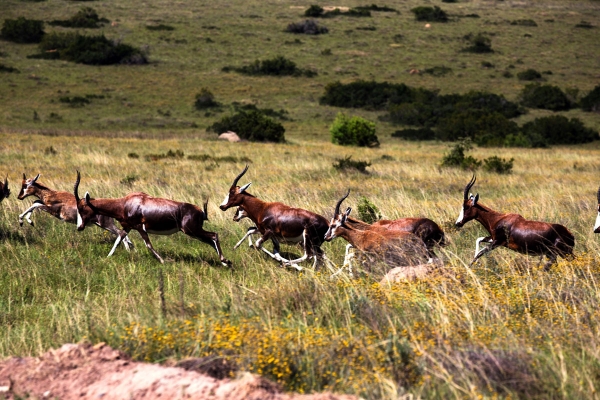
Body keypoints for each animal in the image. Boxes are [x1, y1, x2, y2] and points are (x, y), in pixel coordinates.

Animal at [71, 171, 230, 266]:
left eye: (81, 207)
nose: (79, 227)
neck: (126, 202)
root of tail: (200, 211)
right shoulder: (127, 227)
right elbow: (118, 240)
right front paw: (108, 257)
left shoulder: (140, 227)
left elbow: (148, 244)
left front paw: (162, 260)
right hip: (194, 232)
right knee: (210, 240)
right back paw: (225, 262)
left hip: (191, 230)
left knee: (214, 235)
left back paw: (225, 261)